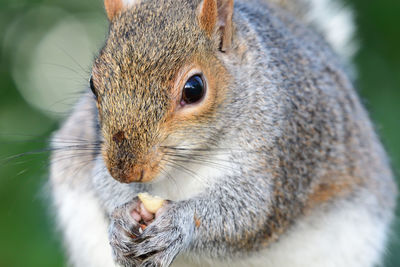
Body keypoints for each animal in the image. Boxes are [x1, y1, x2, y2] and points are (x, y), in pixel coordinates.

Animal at [49, 0, 396, 266]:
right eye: (93, 85)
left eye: (194, 89)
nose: (125, 170)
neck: (189, 160)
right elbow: (101, 182)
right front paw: (122, 216)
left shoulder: (284, 153)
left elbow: (250, 215)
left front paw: (179, 222)